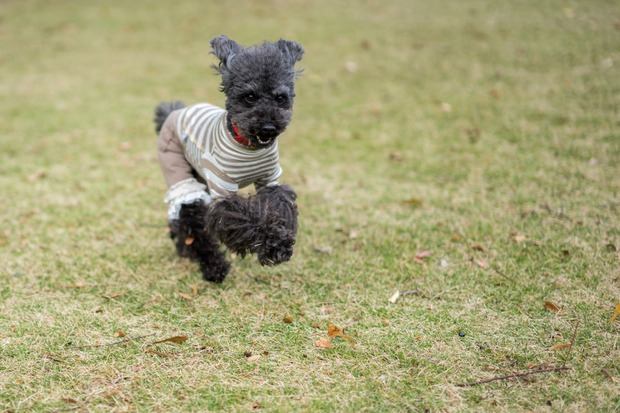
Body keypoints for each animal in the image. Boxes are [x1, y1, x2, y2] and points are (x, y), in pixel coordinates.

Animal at [153, 35, 302, 282]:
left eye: (280, 98)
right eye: (249, 97)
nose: (268, 127)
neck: (249, 147)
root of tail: (173, 112)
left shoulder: (270, 181)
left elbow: (276, 204)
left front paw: (279, 242)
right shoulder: (222, 190)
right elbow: (242, 218)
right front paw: (270, 245)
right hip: (178, 172)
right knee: (190, 219)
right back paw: (213, 266)